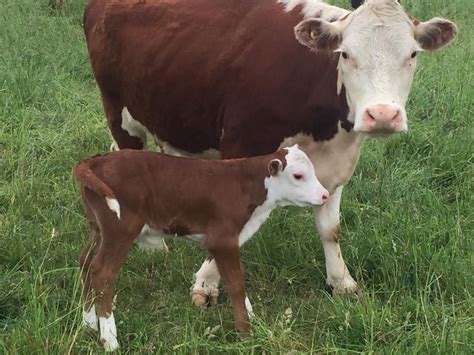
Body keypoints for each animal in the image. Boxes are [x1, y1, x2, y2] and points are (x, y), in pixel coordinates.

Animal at [75, 146, 330, 352]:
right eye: (298, 175)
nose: (325, 195)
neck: (247, 186)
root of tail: (96, 161)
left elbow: (234, 278)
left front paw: (254, 321)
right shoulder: (222, 238)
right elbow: (236, 282)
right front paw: (246, 334)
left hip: (97, 227)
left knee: (86, 261)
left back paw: (89, 323)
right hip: (120, 229)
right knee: (102, 272)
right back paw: (110, 340)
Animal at [83, 0, 458, 300]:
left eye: (412, 54)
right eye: (346, 54)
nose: (381, 115)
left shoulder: (335, 162)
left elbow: (330, 229)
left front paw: (342, 282)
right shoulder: (239, 146)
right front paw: (206, 283)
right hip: (120, 112)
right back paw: (153, 245)